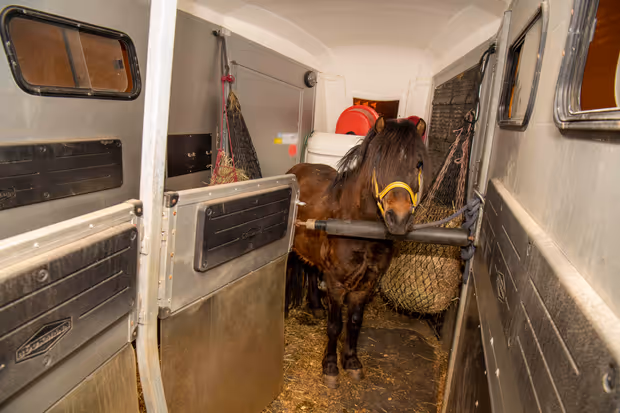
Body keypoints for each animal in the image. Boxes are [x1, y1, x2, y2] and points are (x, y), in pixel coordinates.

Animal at [286, 116, 430, 388]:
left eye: (418, 163)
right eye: (379, 162)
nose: (399, 218)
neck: (358, 227)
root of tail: (297, 168)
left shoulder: (366, 285)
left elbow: (354, 322)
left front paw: (351, 362)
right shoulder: (336, 283)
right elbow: (335, 325)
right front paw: (330, 367)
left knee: (311, 270)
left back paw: (315, 306)